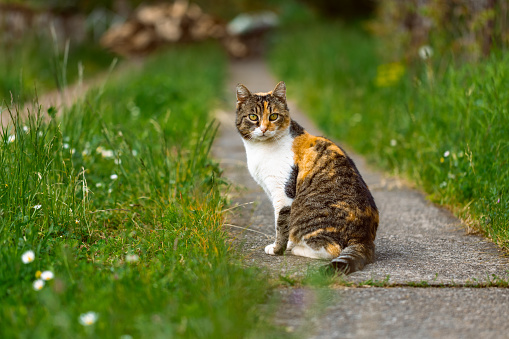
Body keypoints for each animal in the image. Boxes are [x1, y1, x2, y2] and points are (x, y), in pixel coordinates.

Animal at [234, 81, 378, 274]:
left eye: (273, 116)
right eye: (252, 116)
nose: (264, 129)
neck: (260, 149)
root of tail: (363, 238)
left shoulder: (283, 194)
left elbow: (281, 224)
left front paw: (277, 249)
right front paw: (284, 245)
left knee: (332, 250)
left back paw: (297, 248)